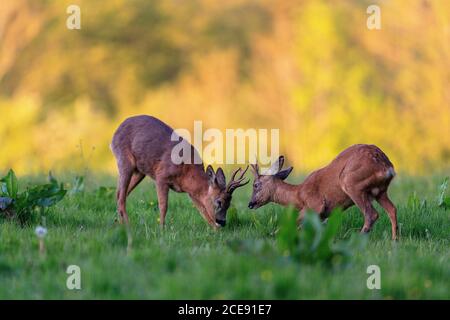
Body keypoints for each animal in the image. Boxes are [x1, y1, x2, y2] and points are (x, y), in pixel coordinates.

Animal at [110, 115, 248, 228]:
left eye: (229, 203)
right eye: (219, 201)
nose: (222, 222)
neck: (187, 173)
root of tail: (115, 133)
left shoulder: (192, 193)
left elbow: (203, 211)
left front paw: (216, 231)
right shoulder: (161, 177)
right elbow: (163, 206)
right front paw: (162, 229)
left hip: (139, 172)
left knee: (120, 194)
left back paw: (121, 225)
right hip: (124, 161)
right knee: (121, 197)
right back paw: (128, 226)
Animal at [248, 145, 400, 240]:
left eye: (256, 185)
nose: (250, 204)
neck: (299, 194)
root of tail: (386, 166)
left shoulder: (315, 205)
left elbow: (291, 225)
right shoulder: (323, 215)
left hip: (351, 183)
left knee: (371, 214)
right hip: (380, 191)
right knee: (392, 209)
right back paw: (394, 241)